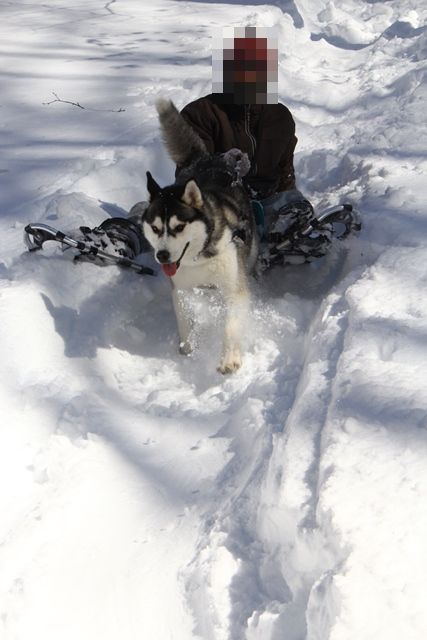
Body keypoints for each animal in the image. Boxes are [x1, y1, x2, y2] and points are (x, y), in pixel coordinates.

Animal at [143, 97, 258, 372]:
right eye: (155, 228)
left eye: (178, 227)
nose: (162, 256)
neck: (199, 259)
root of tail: (205, 160)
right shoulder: (181, 289)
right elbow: (185, 320)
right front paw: (187, 349)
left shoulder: (233, 288)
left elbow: (231, 325)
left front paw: (229, 358)